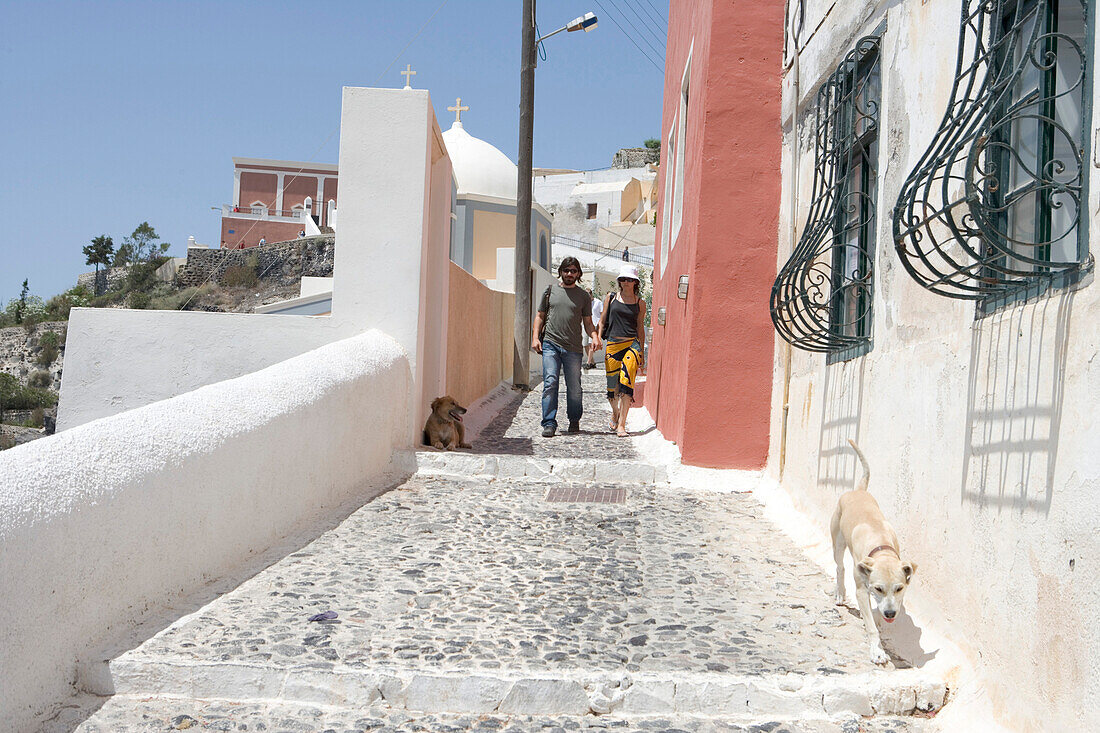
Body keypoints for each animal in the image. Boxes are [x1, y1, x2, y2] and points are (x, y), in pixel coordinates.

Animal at [831, 435, 919, 664]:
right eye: (877, 588)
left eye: (899, 588)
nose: (890, 614)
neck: (881, 549)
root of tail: (858, 491)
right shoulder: (862, 590)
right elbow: (871, 626)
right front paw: (877, 651)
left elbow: (877, 615)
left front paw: (879, 620)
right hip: (837, 542)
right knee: (840, 567)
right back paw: (840, 593)